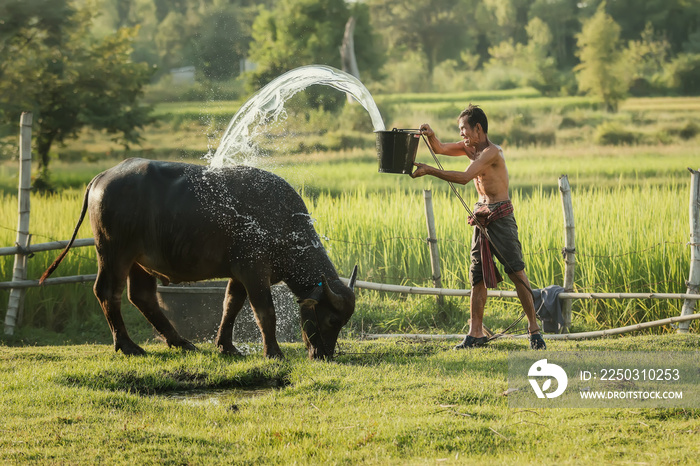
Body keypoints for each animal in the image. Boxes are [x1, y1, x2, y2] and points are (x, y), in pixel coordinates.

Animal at [39, 158, 356, 358]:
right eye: (331, 320)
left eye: (342, 323)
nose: (324, 355)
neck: (282, 224)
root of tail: (100, 178)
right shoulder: (254, 271)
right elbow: (265, 312)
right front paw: (274, 353)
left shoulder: (239, 273)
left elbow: (230, 306)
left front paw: (226, 347)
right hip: (113, 252)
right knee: (107, 292)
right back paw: (127, 346)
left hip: (140, 261)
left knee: (141, 296)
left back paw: (180, 342)